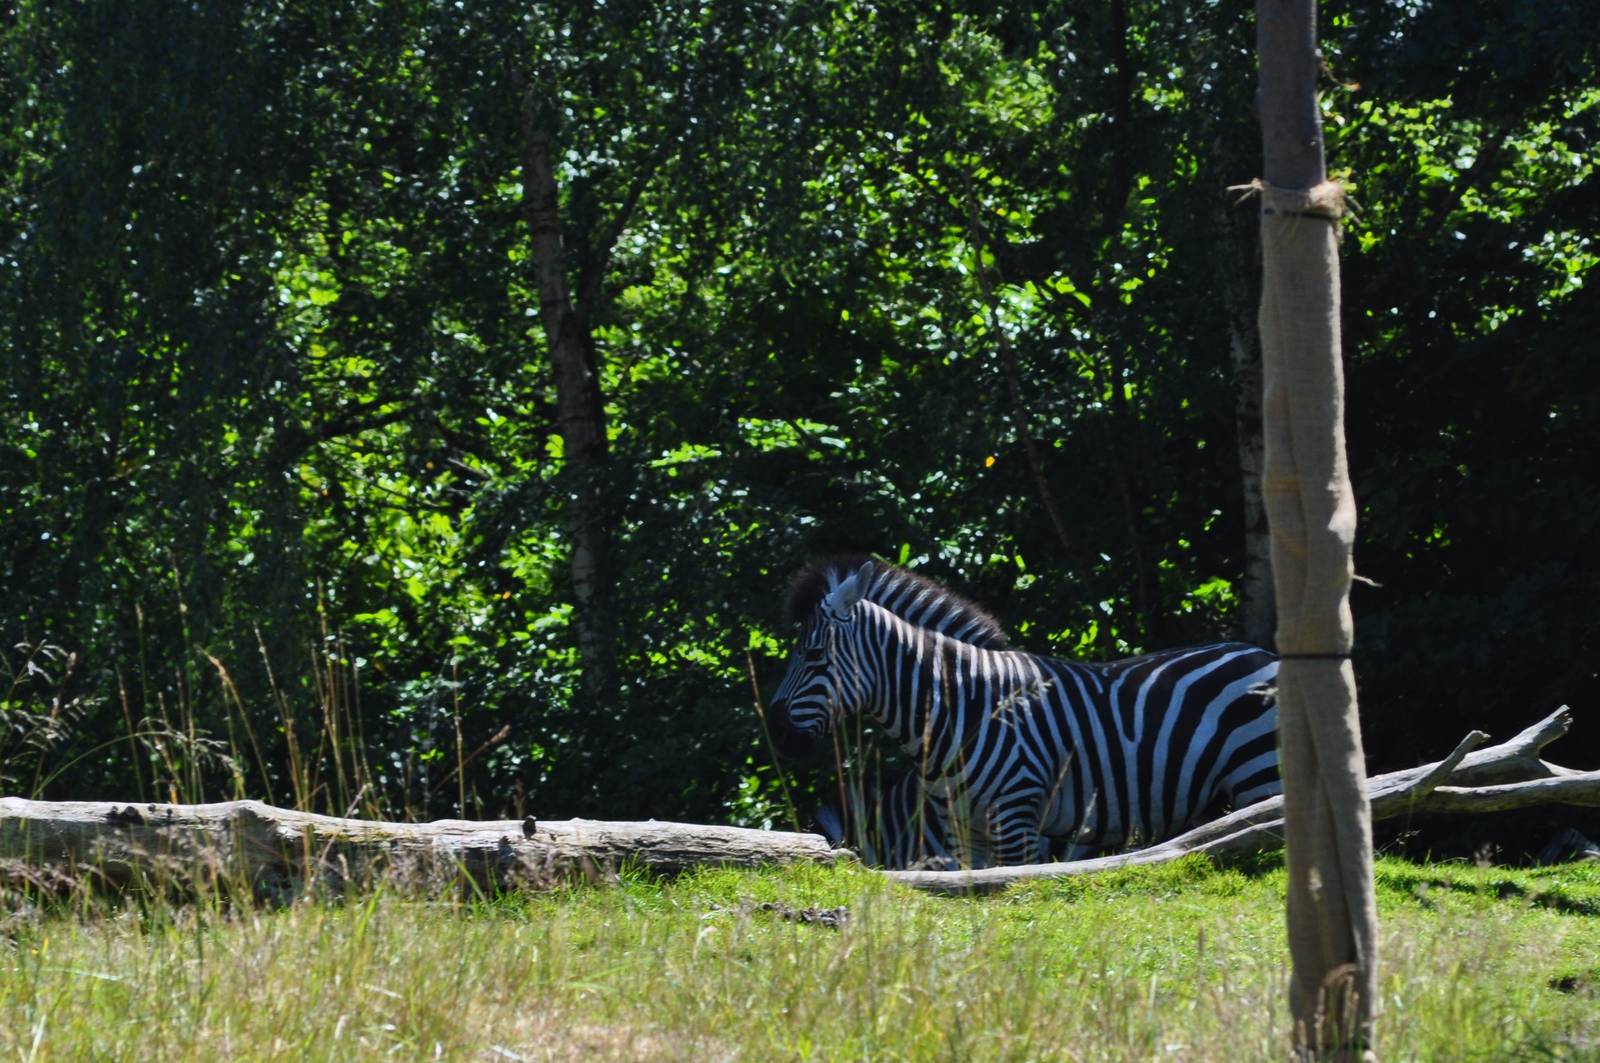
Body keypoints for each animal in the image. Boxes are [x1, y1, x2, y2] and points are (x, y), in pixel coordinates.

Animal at [768, 557, 1280, 868]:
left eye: (813, 656)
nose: (776, 735)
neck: (960, 710)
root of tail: (1263, 655)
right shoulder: (966, 833)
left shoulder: (1016, 821)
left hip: (1260, 776)